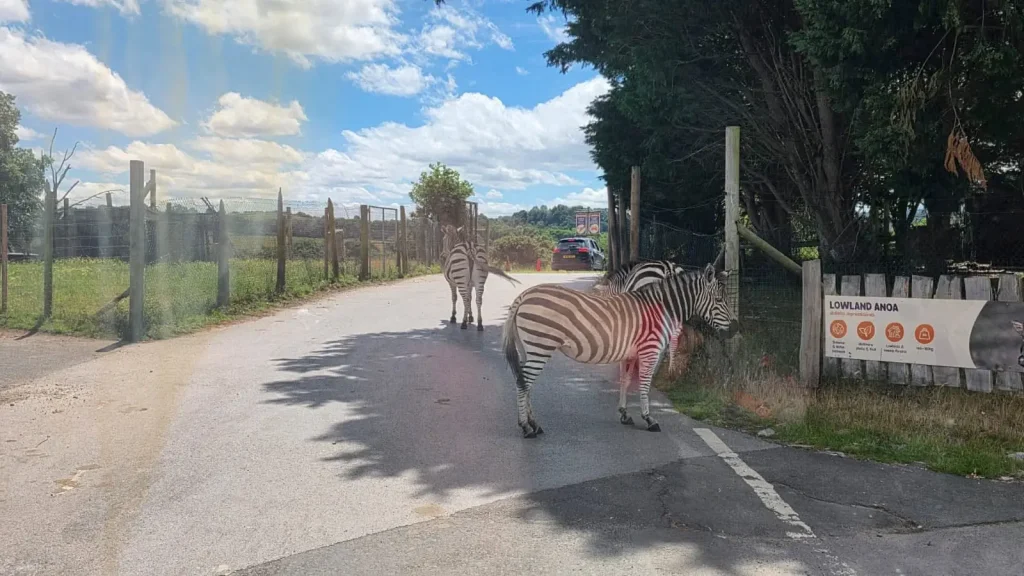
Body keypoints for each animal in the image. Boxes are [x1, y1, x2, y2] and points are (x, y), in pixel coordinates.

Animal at [502, 263, 737, 438]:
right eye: (719, 300)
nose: (735, 329)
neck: (661, 309)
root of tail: (523, 296)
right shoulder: (650, 350)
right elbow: (644, 385)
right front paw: (649, 419)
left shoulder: (631, 352)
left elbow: (625, 380)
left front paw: (625, 414)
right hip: (540, 346)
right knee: (523, 382)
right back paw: (526, 427)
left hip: (529, 348)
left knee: (524, 381)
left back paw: (534, 424)